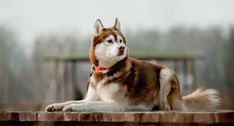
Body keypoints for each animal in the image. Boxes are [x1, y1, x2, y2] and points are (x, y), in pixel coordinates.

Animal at [45, 18, 219, 111]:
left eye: (121, 41)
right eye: (110, 41)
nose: (122, 48)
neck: (106, 70)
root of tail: (180, 97)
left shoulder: (114, 104)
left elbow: (87, 105)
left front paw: (73, 108)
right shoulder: (90, 98)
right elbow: (71, 100)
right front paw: (57, 105)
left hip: (165, 73)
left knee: (167, 105)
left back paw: (158, 106)